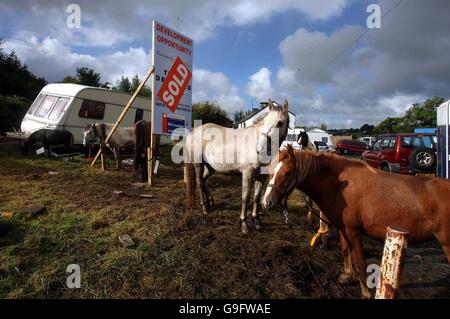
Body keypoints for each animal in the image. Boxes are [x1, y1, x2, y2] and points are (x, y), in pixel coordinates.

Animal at [185, 100, 290, 235]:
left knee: (203, 181)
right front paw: (244, 224)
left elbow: (256, 197)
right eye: (265, 121)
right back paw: (205, 208)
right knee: (199, 182)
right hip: (198, 164)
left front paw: (257, 221)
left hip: (210, 167)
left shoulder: (261, 176)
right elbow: (245, 196)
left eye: (280, 122)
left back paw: (210, 201)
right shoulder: (247, 173)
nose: (259, 149)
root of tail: (192, 132)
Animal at [262, 145, 450, 300]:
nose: (266, 202)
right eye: (271, 171)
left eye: (287, 173)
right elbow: (345, 251)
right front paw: (346, 276)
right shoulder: (343, 229)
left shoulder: (353, 231)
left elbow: (360, 263)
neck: (339, 186)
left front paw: (365, 292)